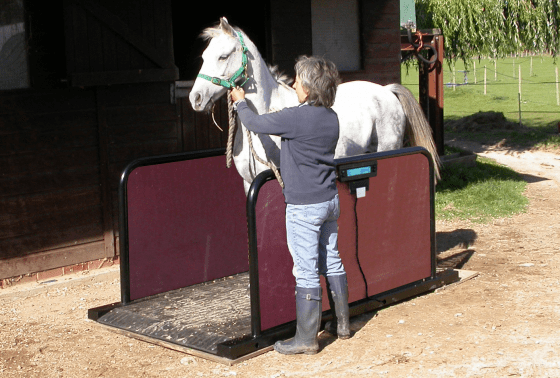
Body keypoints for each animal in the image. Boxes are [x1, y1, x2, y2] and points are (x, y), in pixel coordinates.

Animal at [190, 17, 440, 192]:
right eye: (203, 56)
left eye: (223, 56)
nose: (196, 98)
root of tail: (386, 90)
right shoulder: (249, 182)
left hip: (388, 150)